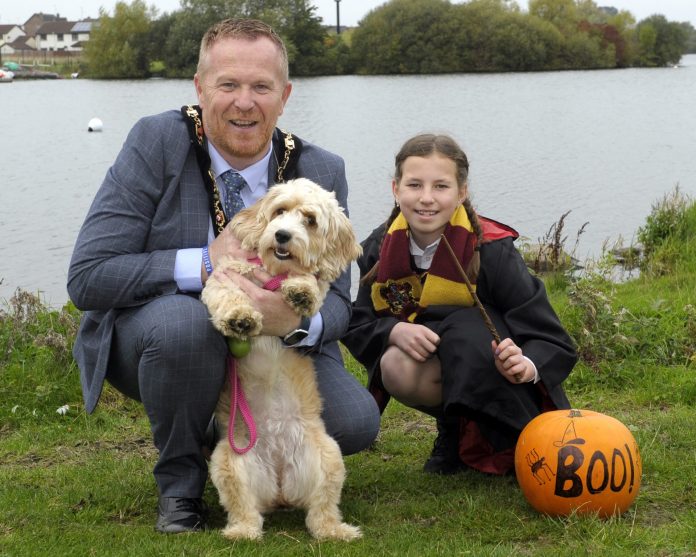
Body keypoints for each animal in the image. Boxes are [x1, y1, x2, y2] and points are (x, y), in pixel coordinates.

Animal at [201, 177, 362, 540]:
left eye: (310, 220)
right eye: (279, 211)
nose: (282, 235)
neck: (273, 270)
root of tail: (279, 485)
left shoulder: (318, 285)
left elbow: (313, 282)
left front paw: (301, 290)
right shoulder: (224, 277)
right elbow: (229, 295)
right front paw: (241, 318)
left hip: (329, 458)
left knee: (320, 513)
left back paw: (337, 531)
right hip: (228, 462)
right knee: (246, 511)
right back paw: (241, 532)